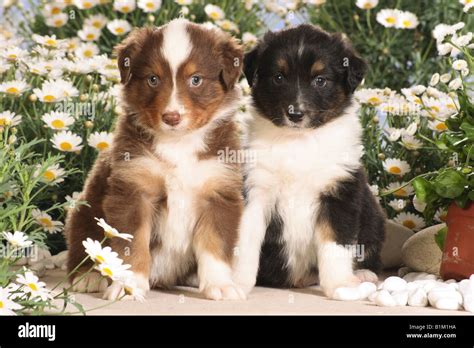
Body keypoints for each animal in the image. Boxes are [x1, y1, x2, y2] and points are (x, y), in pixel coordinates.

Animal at [65, 19, 246, 300]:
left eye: (196, 80)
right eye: (153, 79)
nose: (171, 117)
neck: (179, 143)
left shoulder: (219, 190)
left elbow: (215, 244)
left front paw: (221, 285)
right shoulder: (133, 190)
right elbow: (132, 244)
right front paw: (129, 285)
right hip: (85, 209)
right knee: (82, 240)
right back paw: (89, 276)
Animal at [233, 23, 386, 300]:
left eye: (320, 80)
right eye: (278, 77)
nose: (295, 113)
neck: (298, 141)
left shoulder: (339, 192)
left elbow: (336, 244)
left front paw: (340, 285)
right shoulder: (255, 189)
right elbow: (245, 242)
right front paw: (236, 283)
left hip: (373, 217)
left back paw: (362, 275)